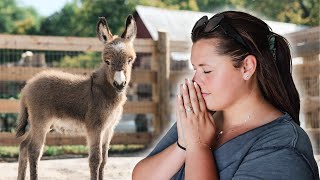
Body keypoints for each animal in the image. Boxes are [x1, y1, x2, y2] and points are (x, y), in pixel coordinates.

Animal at [15, 14, 137, 179]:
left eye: (130, 60)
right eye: (107, 61)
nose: (119, 84)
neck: (104, 90)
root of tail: (27, 86)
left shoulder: (109, 129)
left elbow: (104, 160)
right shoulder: (95, 127)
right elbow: (95, 160)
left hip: (40, 124)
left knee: (23, 145)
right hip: (41, 122)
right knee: (33, 151)